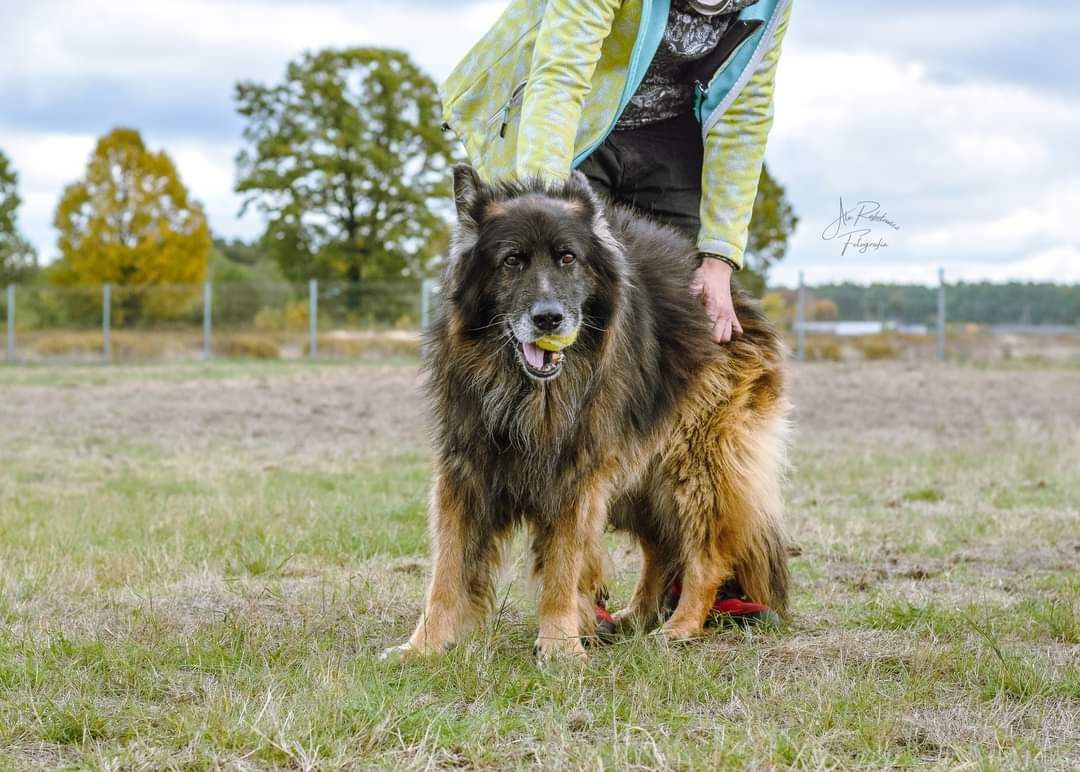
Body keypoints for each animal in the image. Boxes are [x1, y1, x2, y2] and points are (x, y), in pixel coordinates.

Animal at [384, 166, 790, 660]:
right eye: (512, 261)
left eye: (567, 259)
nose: (549, 319)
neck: (527, 393)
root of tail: (740, 302)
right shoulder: (466, 470)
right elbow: (447, 569)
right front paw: (423, 646)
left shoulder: (575, 475)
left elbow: (564, 565)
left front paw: (560, 646)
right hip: (637, 478)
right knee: (661, 547)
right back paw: (635, 617)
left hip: (694, 469)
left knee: (706, 555)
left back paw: (679, 627)